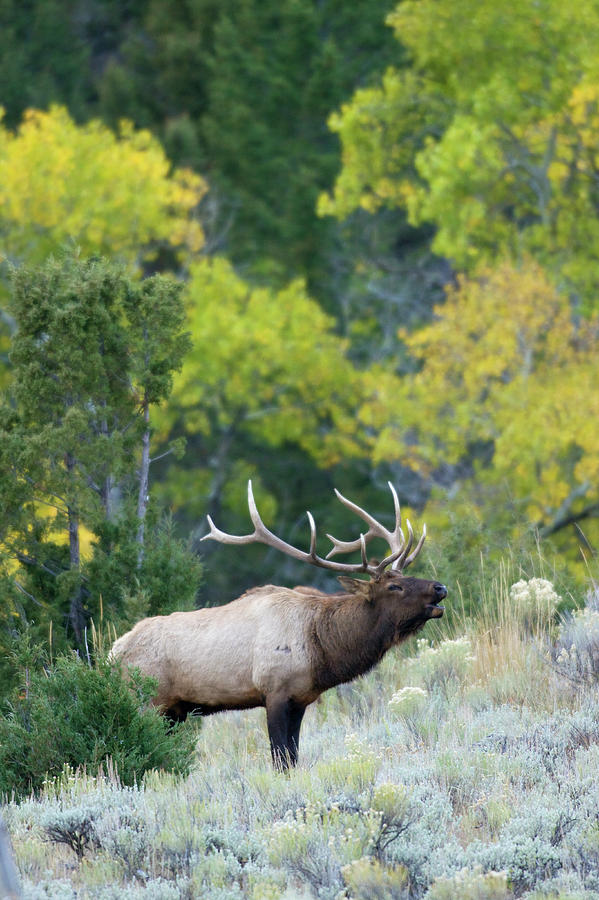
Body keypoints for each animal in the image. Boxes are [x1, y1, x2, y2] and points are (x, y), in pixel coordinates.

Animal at [111, 482, 446, 768]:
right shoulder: (274, 691)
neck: (321, 649)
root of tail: (113, 651)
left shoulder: (301, 700)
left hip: (174, 711)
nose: (440, 587)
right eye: (394, 587)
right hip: (146, 700)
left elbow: (294, 758)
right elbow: (281, 759)